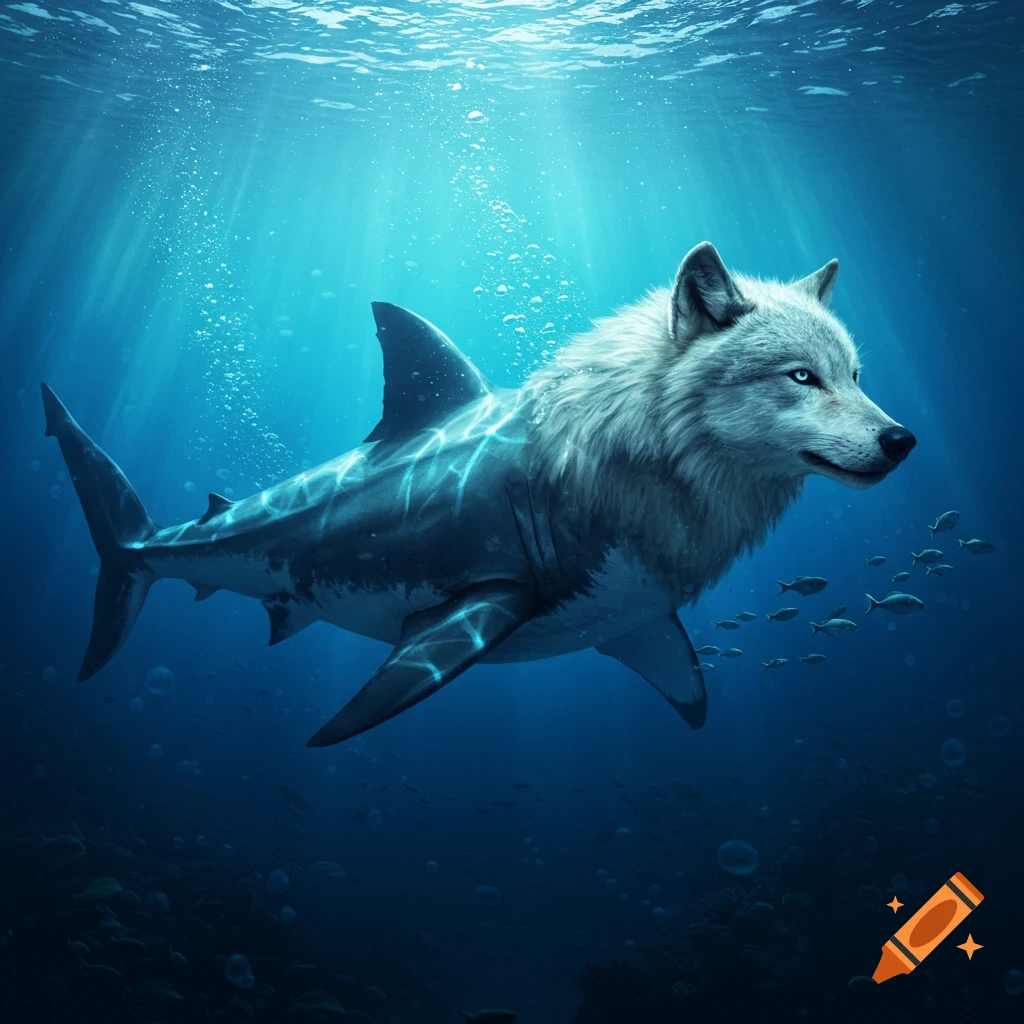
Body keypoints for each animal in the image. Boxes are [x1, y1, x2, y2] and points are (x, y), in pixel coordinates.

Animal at [42, 242, 915, 747]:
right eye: (801, 377)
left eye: (855, 376)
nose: (900, 439)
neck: (610, 451)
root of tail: (131, 543)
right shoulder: (487, 592)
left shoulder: (638, 615)